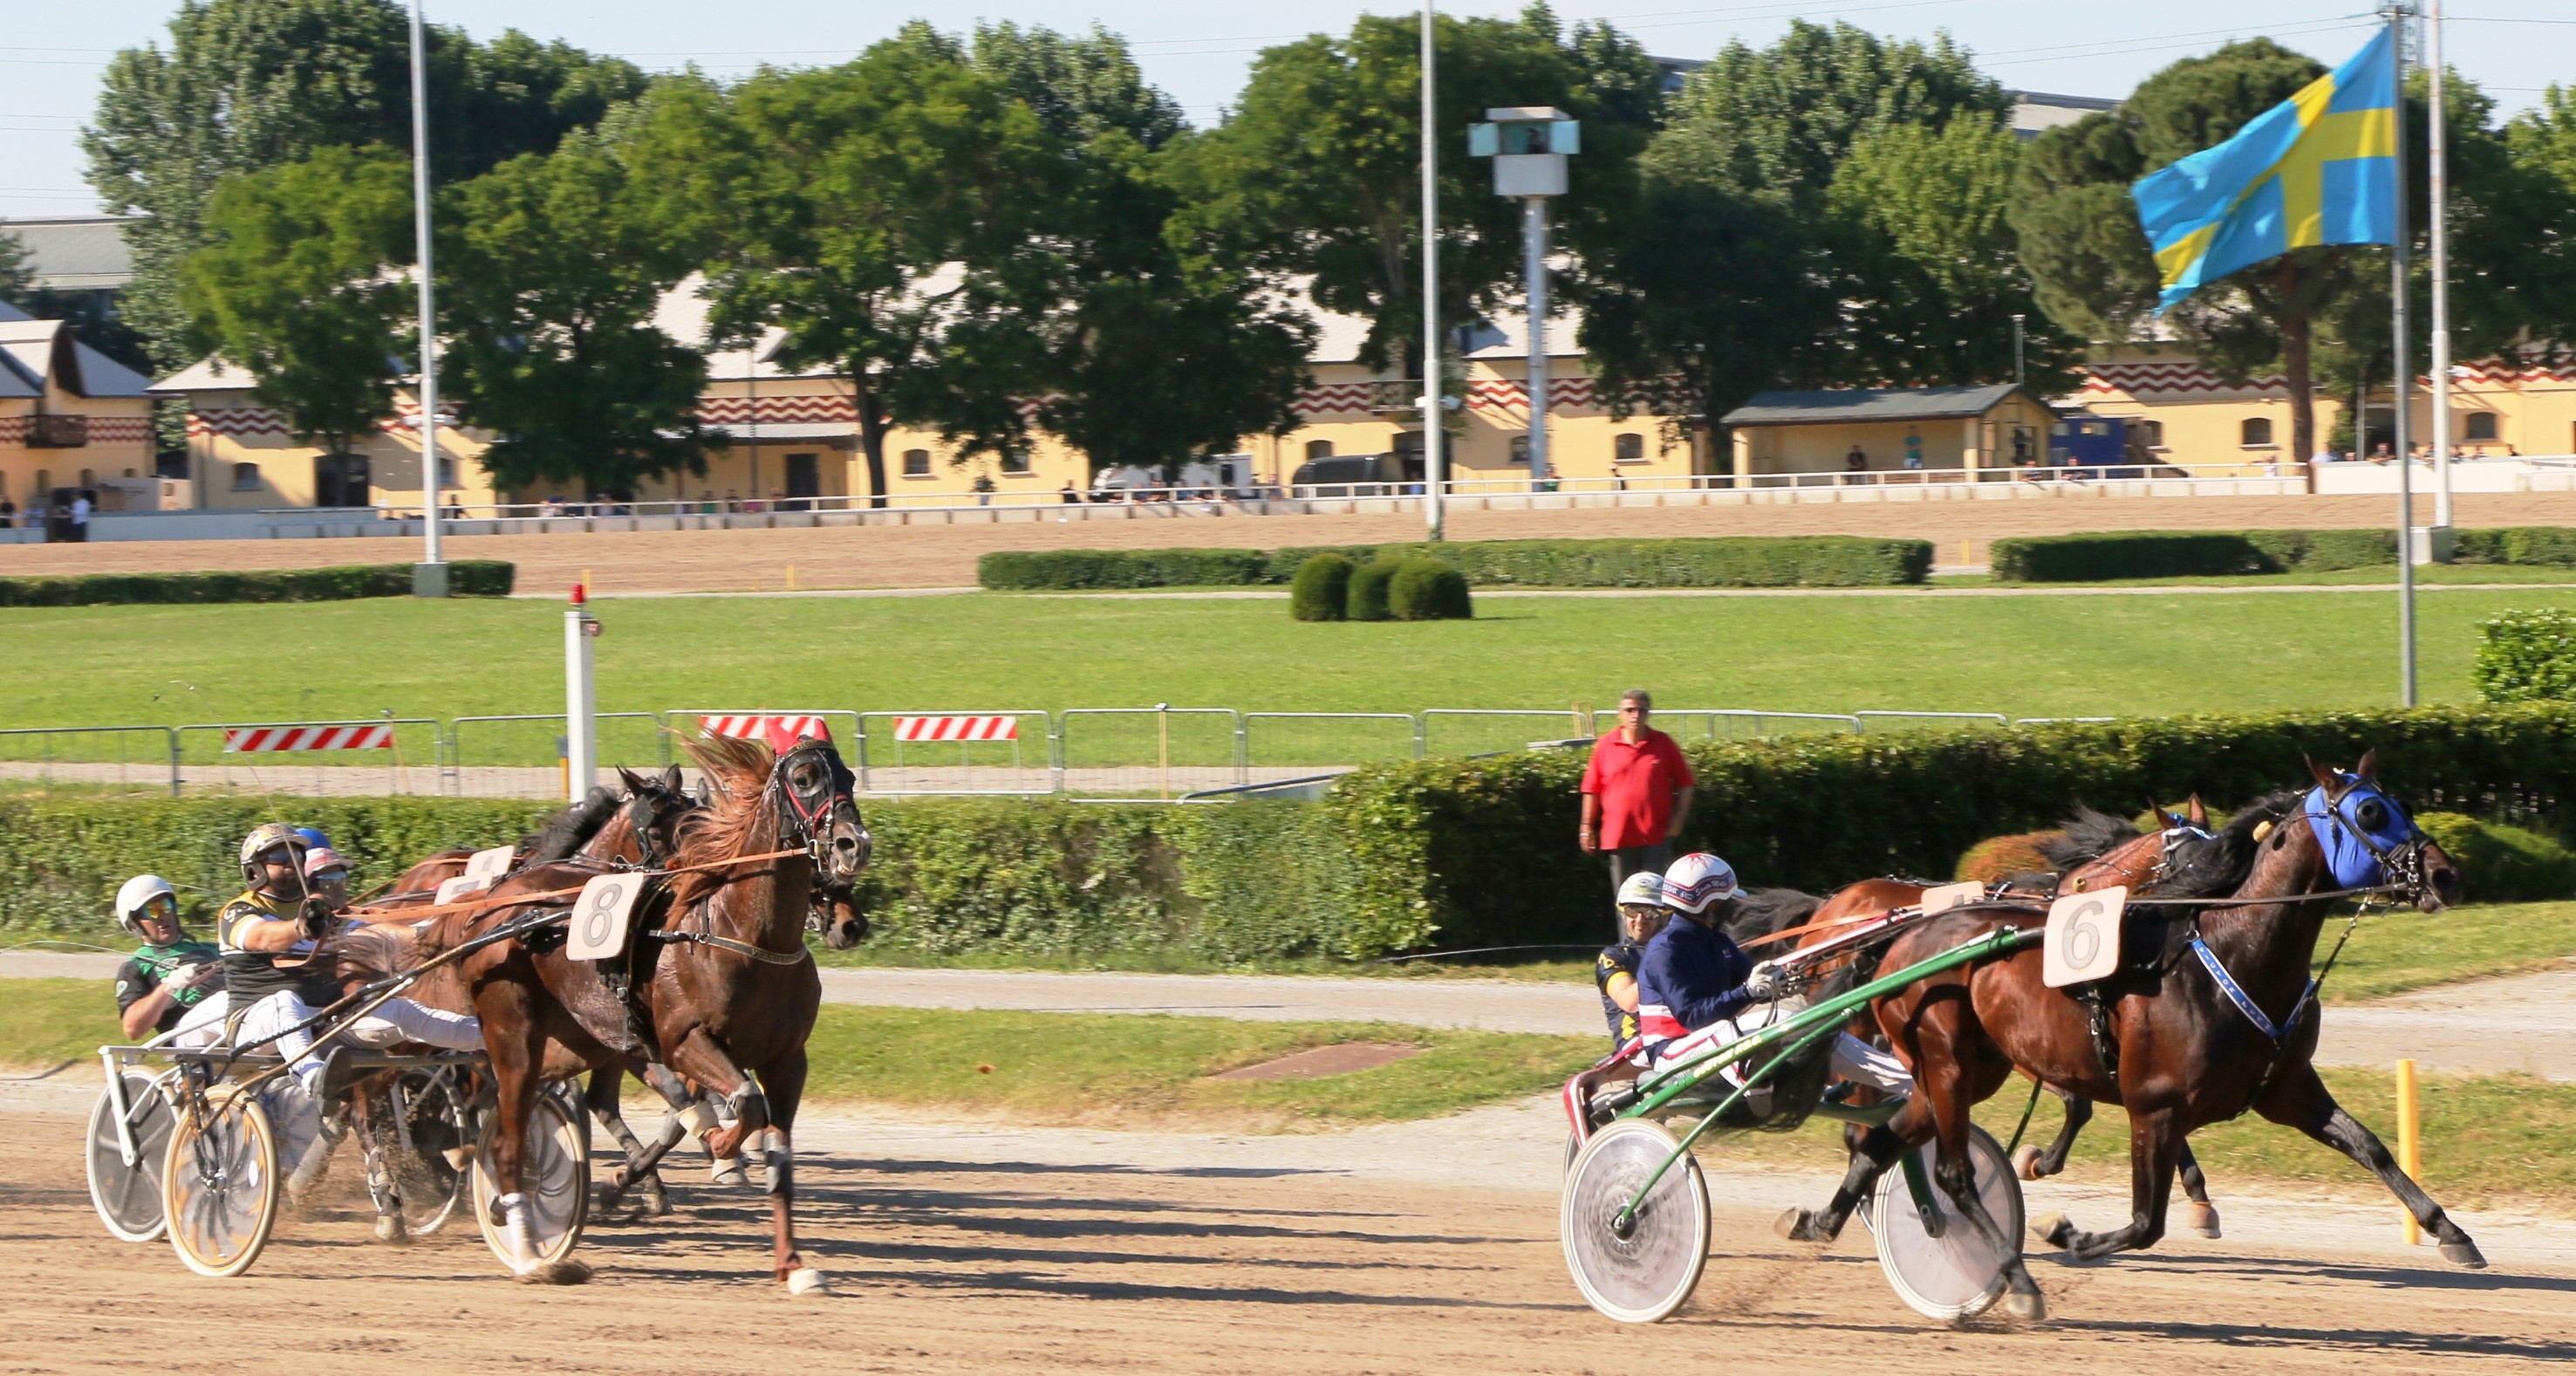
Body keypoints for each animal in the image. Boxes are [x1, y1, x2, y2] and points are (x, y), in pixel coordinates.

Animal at [404, 736, 865, 1288]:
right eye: (802, 778)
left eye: (849, 777)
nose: (853, 844)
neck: (739, 934)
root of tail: (492, 902)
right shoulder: (682, 1041)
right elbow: (744, 1104)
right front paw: (719, 1148)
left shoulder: (787, 1060)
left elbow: (775, 1152)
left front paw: (792, 1265)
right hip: (512, 1031)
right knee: (504, 1127)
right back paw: (529, 1251)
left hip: (576, 1040)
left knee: (529, 1104)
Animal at [1555, 763, 2483, 1329]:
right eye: (2369, 812)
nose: (2444, 873)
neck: (2221, 951)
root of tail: (1883, 930)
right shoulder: (2151, 1103)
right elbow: (2141, 1219)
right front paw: (2072, 1231)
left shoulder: (2282, 1087)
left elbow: (2370, 1147)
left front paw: (2451, 1233)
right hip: (1937, 1055)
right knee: (1943, 1166)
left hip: (1956, 1069)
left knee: (1884, 1141)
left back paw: (1837, 1219)